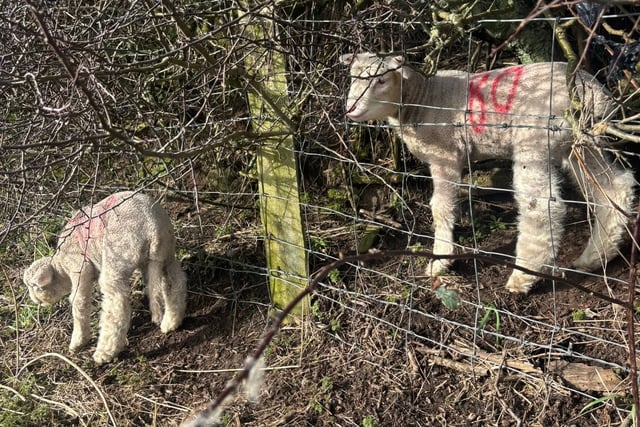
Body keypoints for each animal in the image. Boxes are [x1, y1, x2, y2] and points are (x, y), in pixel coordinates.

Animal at [23, 191, 187, 364]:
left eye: (33, 287)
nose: (34, 300)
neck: (61, 266)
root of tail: (151, 224)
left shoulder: (78, 268)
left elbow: (78, 303)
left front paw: (77, 342)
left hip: (118, 255)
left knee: (117, 305)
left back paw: (105, 352)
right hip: (166, 251)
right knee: (175, 282)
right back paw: (171, 322)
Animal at [340, 52, 635, 294]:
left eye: (381, 80)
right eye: (353, 77)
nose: (351, 109)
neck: (422, 99)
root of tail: (593, 93)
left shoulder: (446, 155)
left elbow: (441, 207)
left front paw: (441, 260)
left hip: (535, 141)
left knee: (541, 208)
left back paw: (523, 277)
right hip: (582, 143)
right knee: (614, 188)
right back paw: (594, 257)